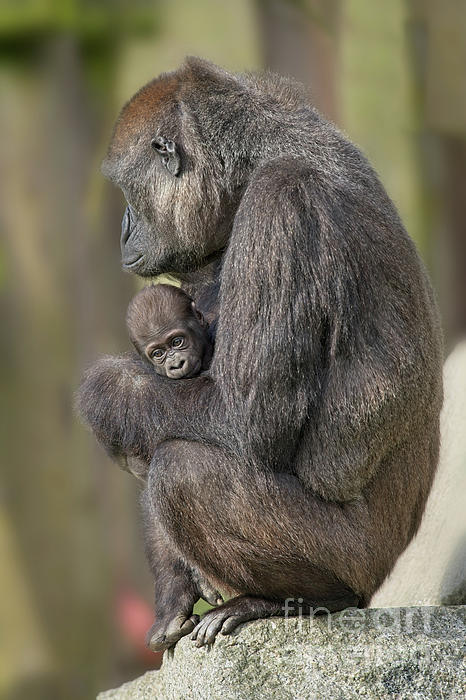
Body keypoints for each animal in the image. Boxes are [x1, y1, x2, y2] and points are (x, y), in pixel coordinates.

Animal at [78, 57, 442, 648]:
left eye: (129, 190)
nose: (123, 229)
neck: (254, 162)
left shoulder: (280, 204)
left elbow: (246, 418)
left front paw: (106, 394)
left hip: (357, 563)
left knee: (181, 469)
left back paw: (297, 599)